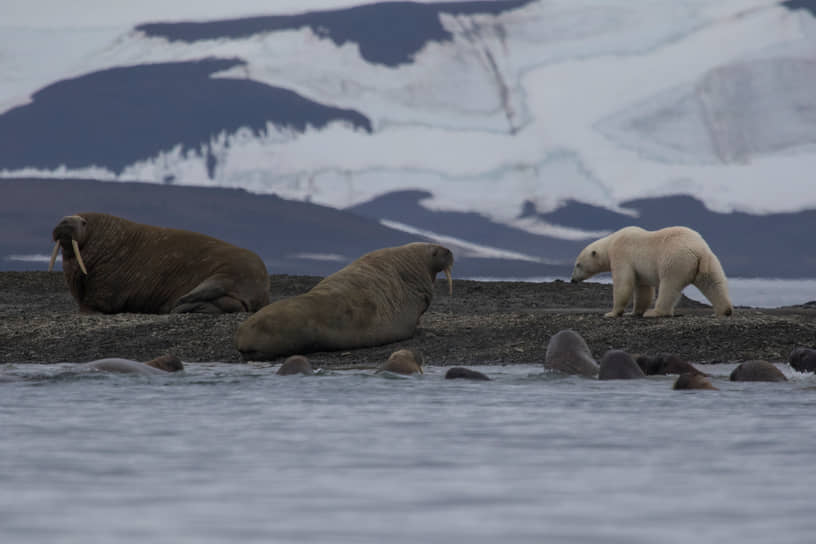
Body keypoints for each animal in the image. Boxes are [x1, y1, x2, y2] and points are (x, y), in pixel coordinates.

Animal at [572, 226, 736, 318]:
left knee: (669, 287)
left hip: (674, 260)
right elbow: (643, 290)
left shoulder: (622, 255)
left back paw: (654, 312)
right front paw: (634, 312)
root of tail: (697, 249)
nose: (573, 280)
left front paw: (612, 313)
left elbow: (623, 284)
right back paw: (724, 310)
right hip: (710, 260)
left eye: (578, 264)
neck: (611, 242)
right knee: (713, 282)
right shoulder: (639, 271)